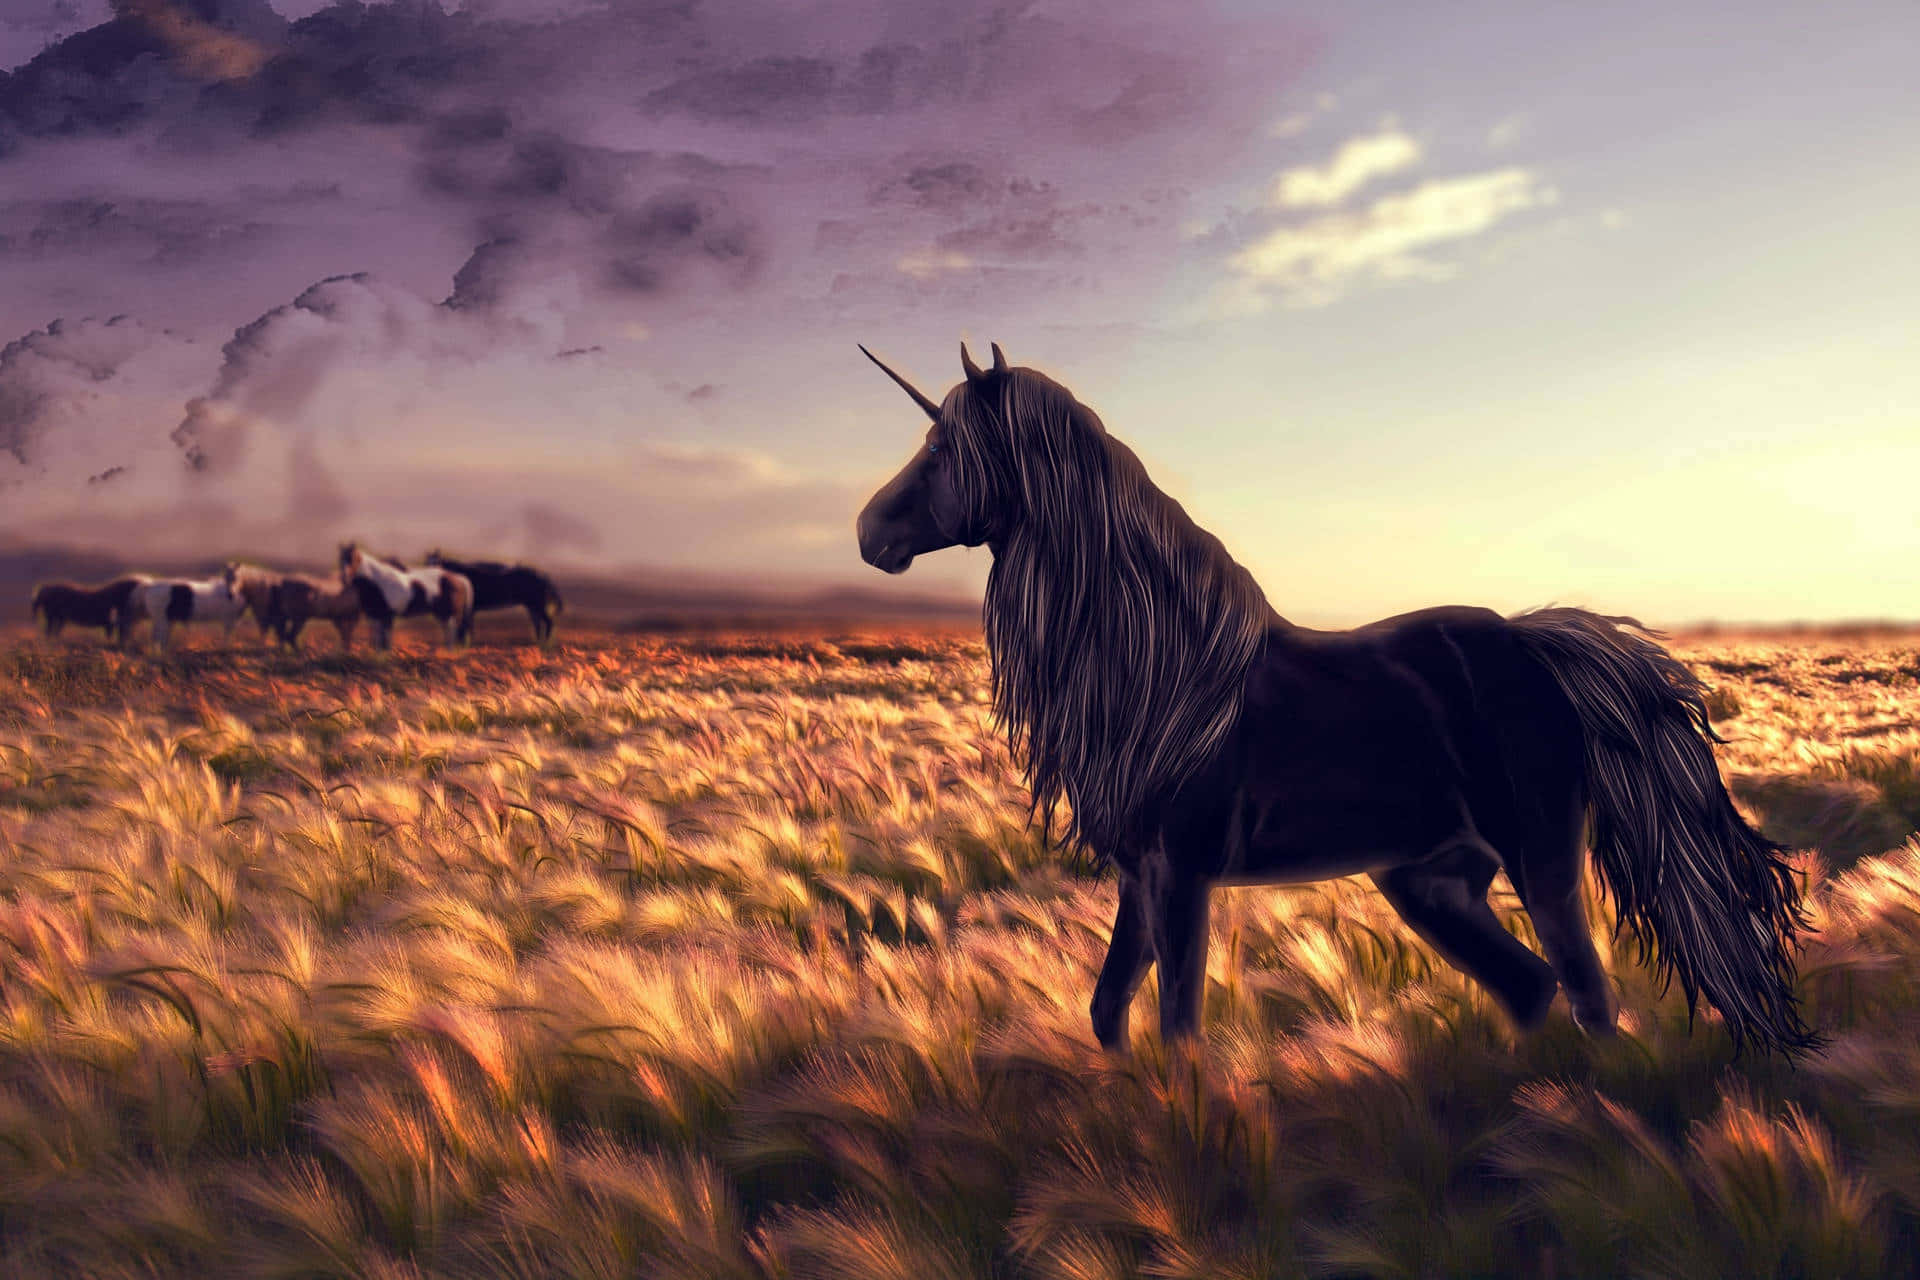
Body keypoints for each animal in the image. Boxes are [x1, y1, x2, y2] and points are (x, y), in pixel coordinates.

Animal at [339, 543, 473, 650]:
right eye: (341, 559)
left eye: (354, 559)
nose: (344, 578)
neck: (377, 582)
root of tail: (459, 578)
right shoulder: (374, 615)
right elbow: (379, 639)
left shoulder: (386, 615)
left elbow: (385, 638)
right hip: (442, 614)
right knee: (448, 633)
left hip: (450, 614)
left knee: (451, 633)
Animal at [424, 551, 564, 643]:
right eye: (426, 563)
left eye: (438, 563)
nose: (431, 572)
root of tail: (542, 575)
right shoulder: (471, 609)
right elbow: (467, 626)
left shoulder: (469, 608)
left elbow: (465, 626)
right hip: (531, 605)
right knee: (538, 623)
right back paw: (538, 642)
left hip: (538, 603)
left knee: (548, 622)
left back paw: (546, 643)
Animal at [855, 342, 1817, 1058]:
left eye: (942, 451)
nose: (869, 531)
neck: (1164, 674)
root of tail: (1532, 644)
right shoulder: (1140, 872)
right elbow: (1108, 1012)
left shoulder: (1182, 873)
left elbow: (1176, 1026)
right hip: (1429, 879)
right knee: (1532, 988)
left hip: (1538, 861)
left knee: (1584, 994)